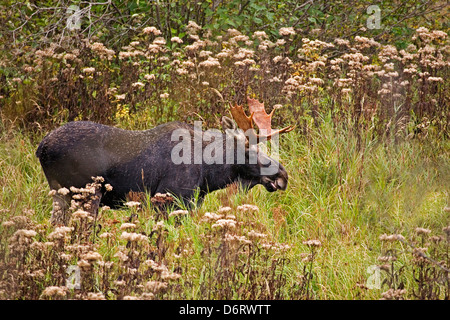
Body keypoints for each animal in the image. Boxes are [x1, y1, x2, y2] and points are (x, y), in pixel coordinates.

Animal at [36, 96, 296, 224]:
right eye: (248, 150)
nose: (283, 175)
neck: (209, 175)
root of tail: (41, 148)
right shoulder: (171, 198)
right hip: (86, 194)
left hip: (61, 195)